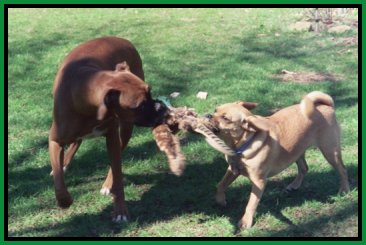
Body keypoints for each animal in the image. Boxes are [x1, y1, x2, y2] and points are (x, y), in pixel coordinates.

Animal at [48, 36, 167, 222]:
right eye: (140, 106)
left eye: (150, 92)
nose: (162, 108)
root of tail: (123, 40)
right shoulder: (54, 140)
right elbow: (59, 179)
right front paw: (64, 200)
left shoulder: (112, 138)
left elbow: (118, 176)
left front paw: (120, 211)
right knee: (76, 142)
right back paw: (65, 163)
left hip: (125, 129)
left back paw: (106, 185)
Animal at [204, 91, 350, 229]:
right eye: (216, 110)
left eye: (225, 118)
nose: (208, 115)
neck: (244, 143)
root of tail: (326, 106)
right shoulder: (232, 170)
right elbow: (221, 185)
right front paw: (220, 200)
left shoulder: (259, 182)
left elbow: (251, 203)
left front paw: (246, 221)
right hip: (296, 152)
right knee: (304, 168)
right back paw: (294, 185)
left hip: (330, 152)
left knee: (343, 170)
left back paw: (344, 189)